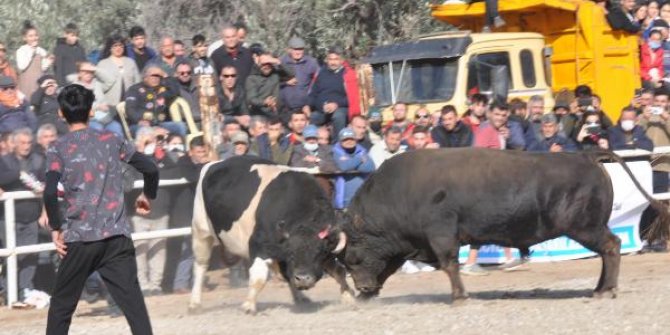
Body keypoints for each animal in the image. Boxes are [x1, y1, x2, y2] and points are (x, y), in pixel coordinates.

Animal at [189, 156, 354, 314]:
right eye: (292, 254)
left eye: (318, 254)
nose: (303, 278)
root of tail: (213, 164)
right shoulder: (259, 246)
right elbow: (258, 278)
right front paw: (249, 306)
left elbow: (338, 271)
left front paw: (349, 297)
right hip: (201, 231)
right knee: (201, 266)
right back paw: (195, 304)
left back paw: (301, 298)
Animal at [338, 150, 668, 302]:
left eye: (353, 256)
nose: (362, 287)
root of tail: (586, 155)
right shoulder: (413, 244)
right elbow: (396, 268)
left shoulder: (441, 236)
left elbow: (449, 264)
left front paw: (459, 297)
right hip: (590, 228)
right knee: (607, 252)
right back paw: (599, 288)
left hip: (585, 228)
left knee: (611, 247)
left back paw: (605, 291)